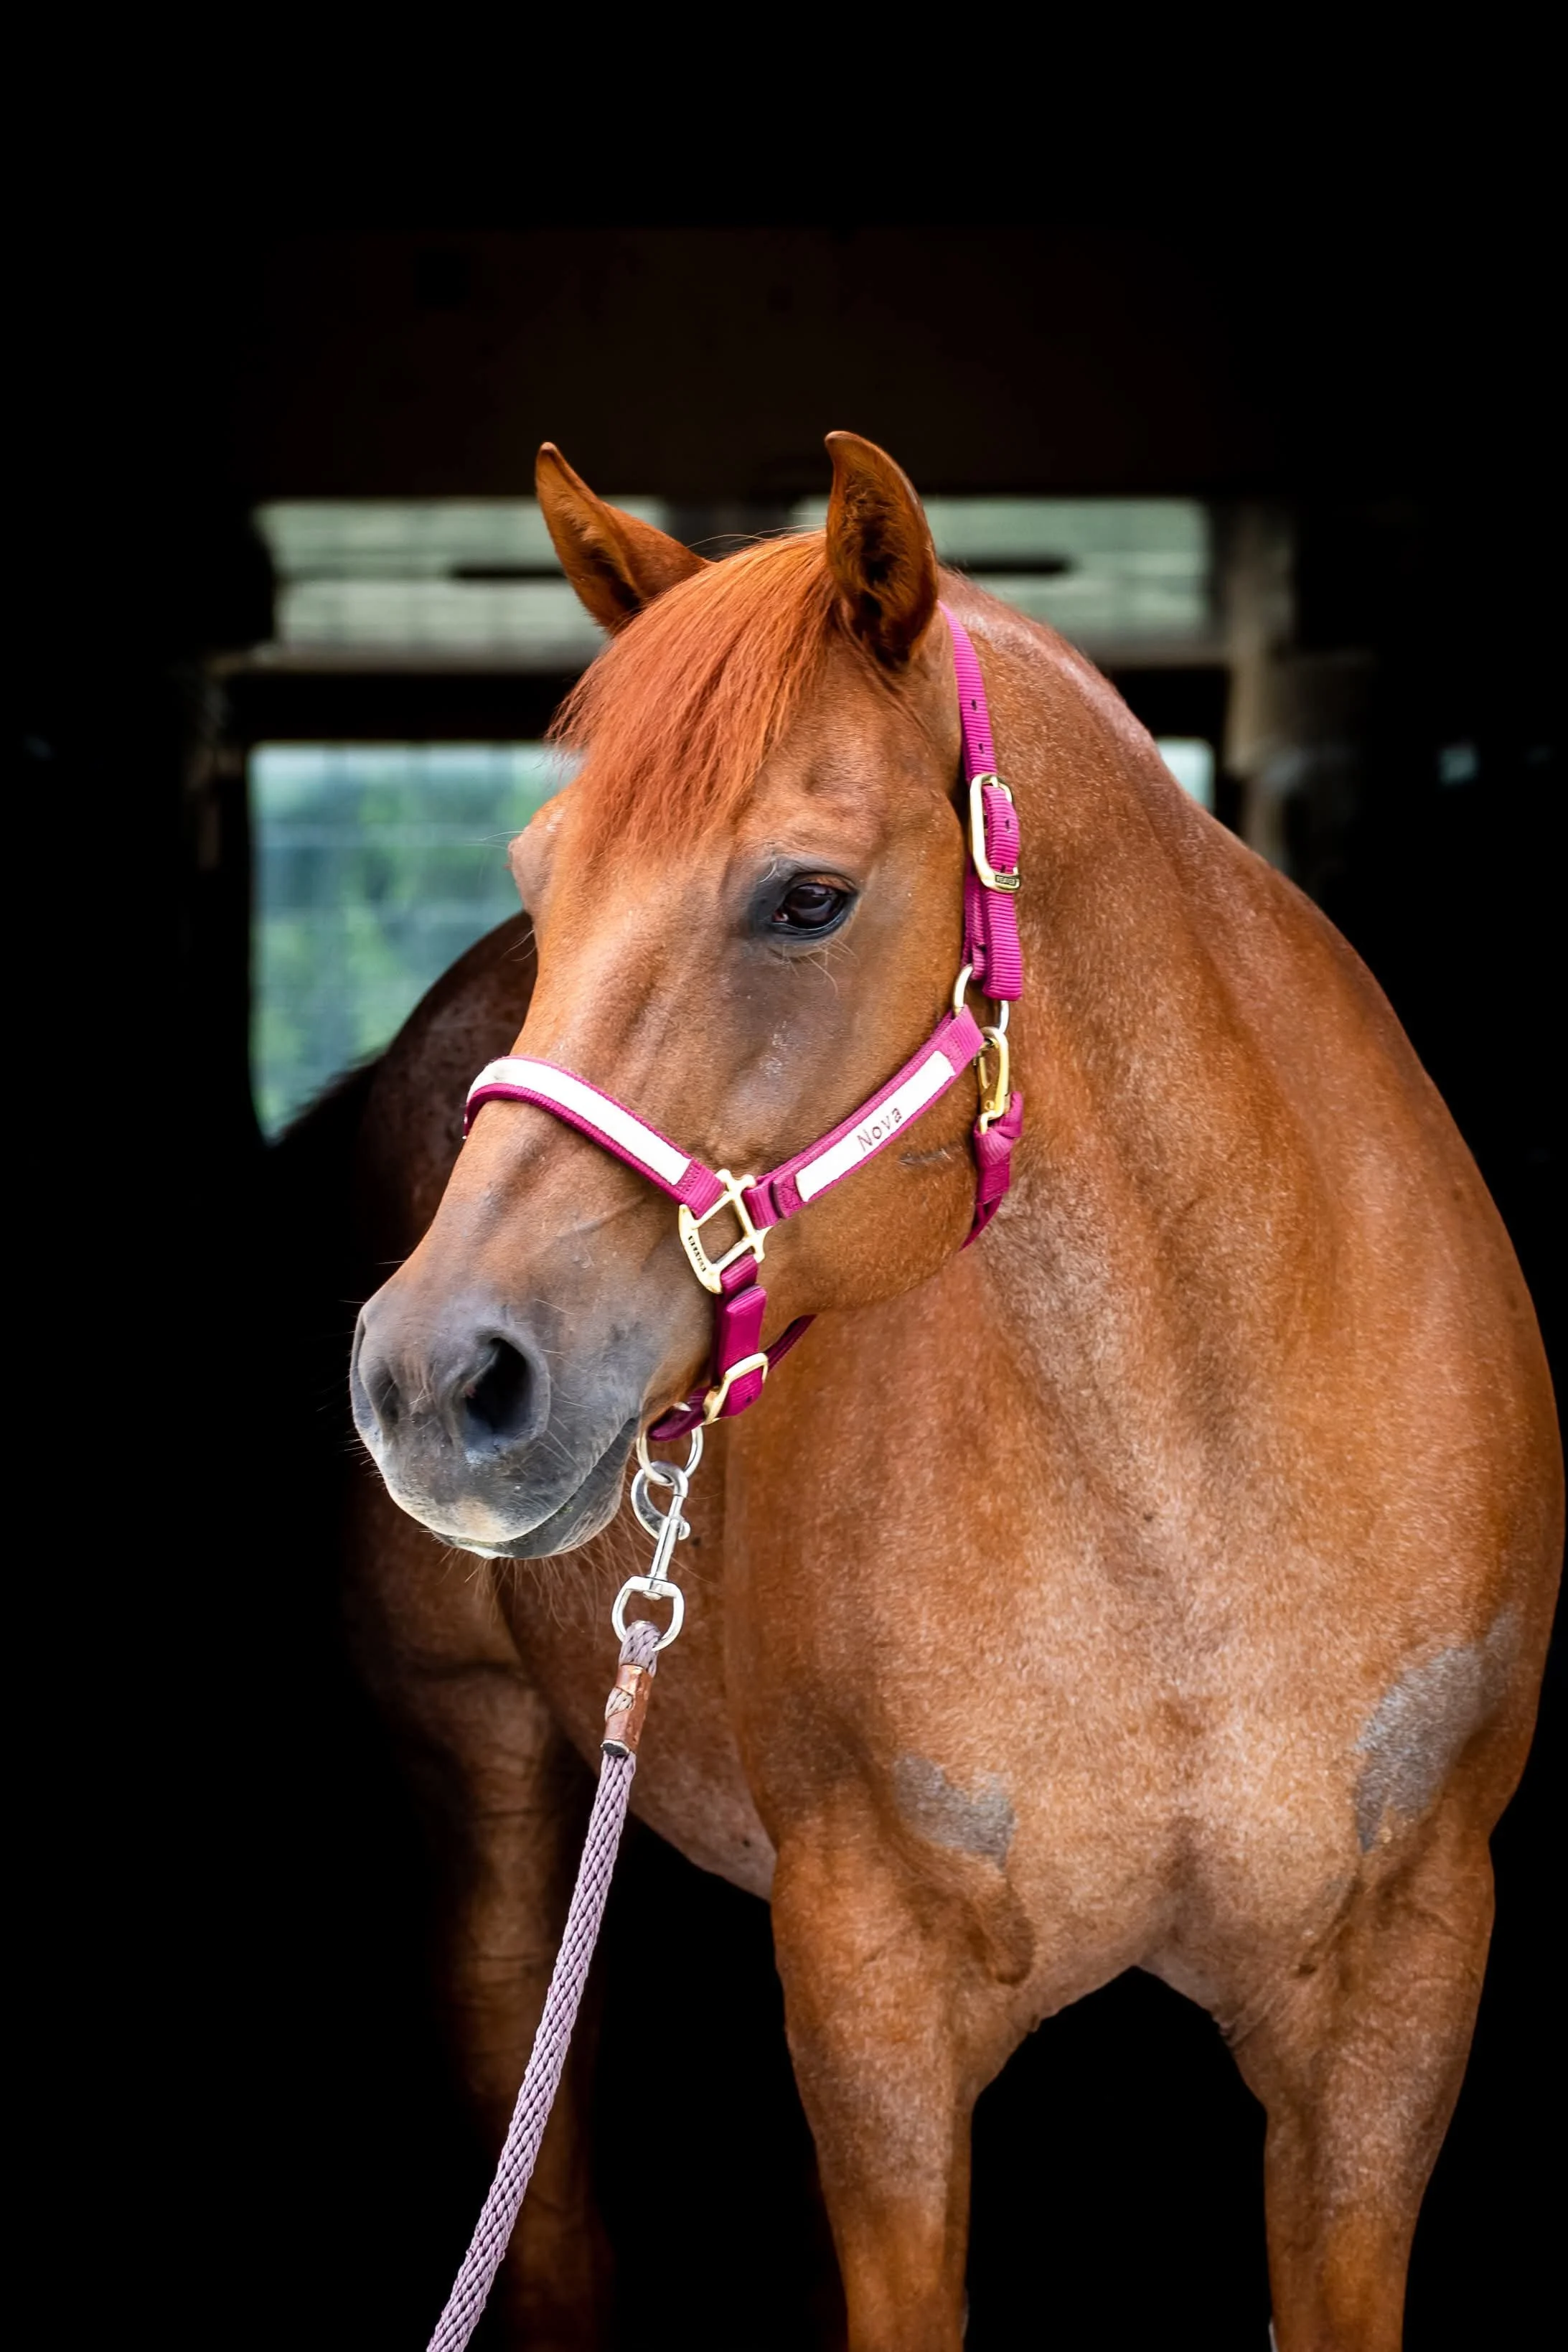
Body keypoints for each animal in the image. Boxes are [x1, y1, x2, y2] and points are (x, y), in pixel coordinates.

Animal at [345, 432, 1561, 2350]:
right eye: (547, 880)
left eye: (810, 897)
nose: (432, 1376)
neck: (1189, 1490)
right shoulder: (874, 1996)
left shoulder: (1398, 1997)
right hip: (486, 1801)